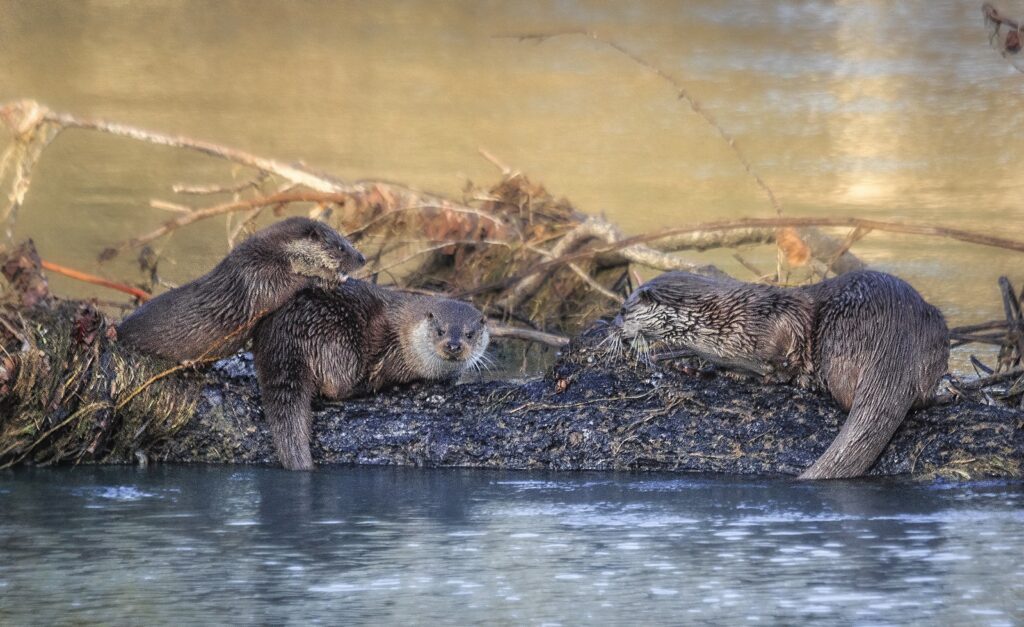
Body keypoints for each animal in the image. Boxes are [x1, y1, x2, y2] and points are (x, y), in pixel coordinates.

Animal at [117, 217, 366, 360]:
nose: (362, 258)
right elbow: (282, 289)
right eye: (341, 247)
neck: (274, 253)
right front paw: (322, 279)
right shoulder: (257, 274)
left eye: (347, 241)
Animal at [247, 280, 487, 471]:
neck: (404, 339)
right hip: (336, 338)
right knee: (337, 387)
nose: (454, 345)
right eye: (440, 331)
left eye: (469, 334)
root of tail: (286, 338)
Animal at [610, 268, 946, 479]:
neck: (717, 323)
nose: (612, 325)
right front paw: (687, 364)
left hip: (839, 335)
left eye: (624, 311)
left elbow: (781, 359)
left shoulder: (774, 322)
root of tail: (895, 331)